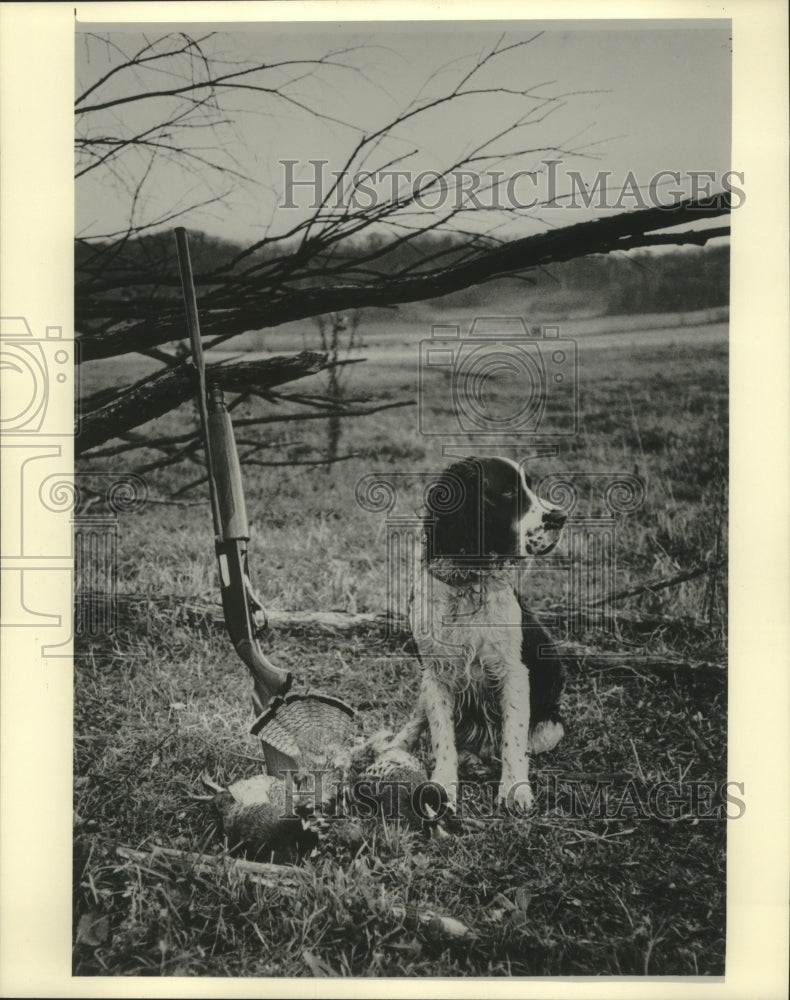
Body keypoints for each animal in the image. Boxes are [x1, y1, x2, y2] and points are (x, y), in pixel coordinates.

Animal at [396, 458, 568, 812]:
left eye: (529, 487)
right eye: (508, 492)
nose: (560, 517)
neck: (468, 584)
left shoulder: (513, 673)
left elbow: (514, 738)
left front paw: (515, 789)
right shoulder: (435, 674)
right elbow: (441, 735)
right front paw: (443, 785)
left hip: (552, 725)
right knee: (415, 723)